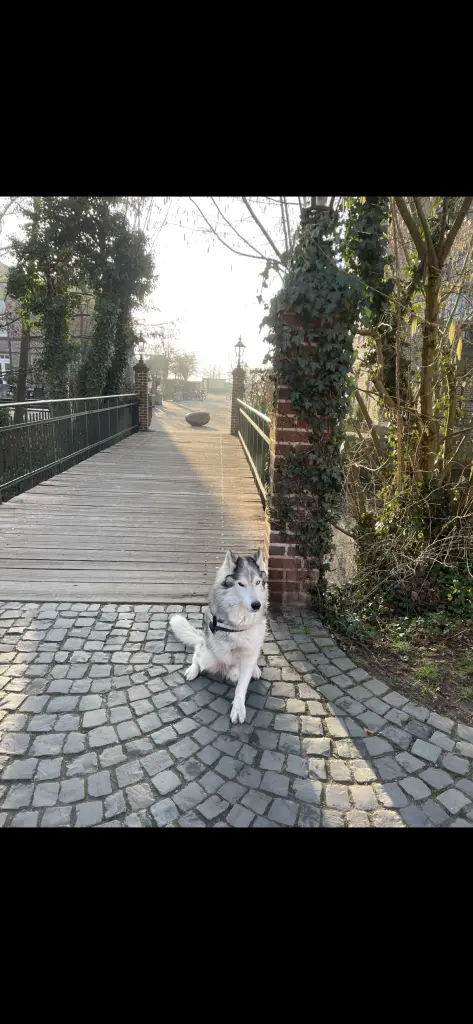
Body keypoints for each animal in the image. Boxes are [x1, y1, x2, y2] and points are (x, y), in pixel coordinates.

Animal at [170, 548, 268, 724]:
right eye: (241, 584)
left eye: (257, 582)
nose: (256, 605)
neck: (242, 620)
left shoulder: (249, 653)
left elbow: (242, 686)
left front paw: (238, 708)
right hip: (206, 655)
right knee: (198, 652)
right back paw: (193, 669)